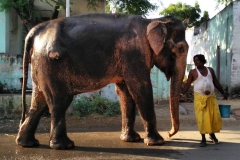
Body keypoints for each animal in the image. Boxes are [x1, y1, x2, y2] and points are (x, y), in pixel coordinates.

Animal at [15, 13, 188, 149]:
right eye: (181, 49)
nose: (170, 133)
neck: (152, 20)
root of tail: (34, 31)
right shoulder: (134, 53)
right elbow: (140, 88)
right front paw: (156, 142)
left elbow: (125, 93)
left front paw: (131, 140)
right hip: (51, 64)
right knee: (60, 100)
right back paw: (65, 146)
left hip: (40, 64)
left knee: (39, 101)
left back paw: (27, 143)